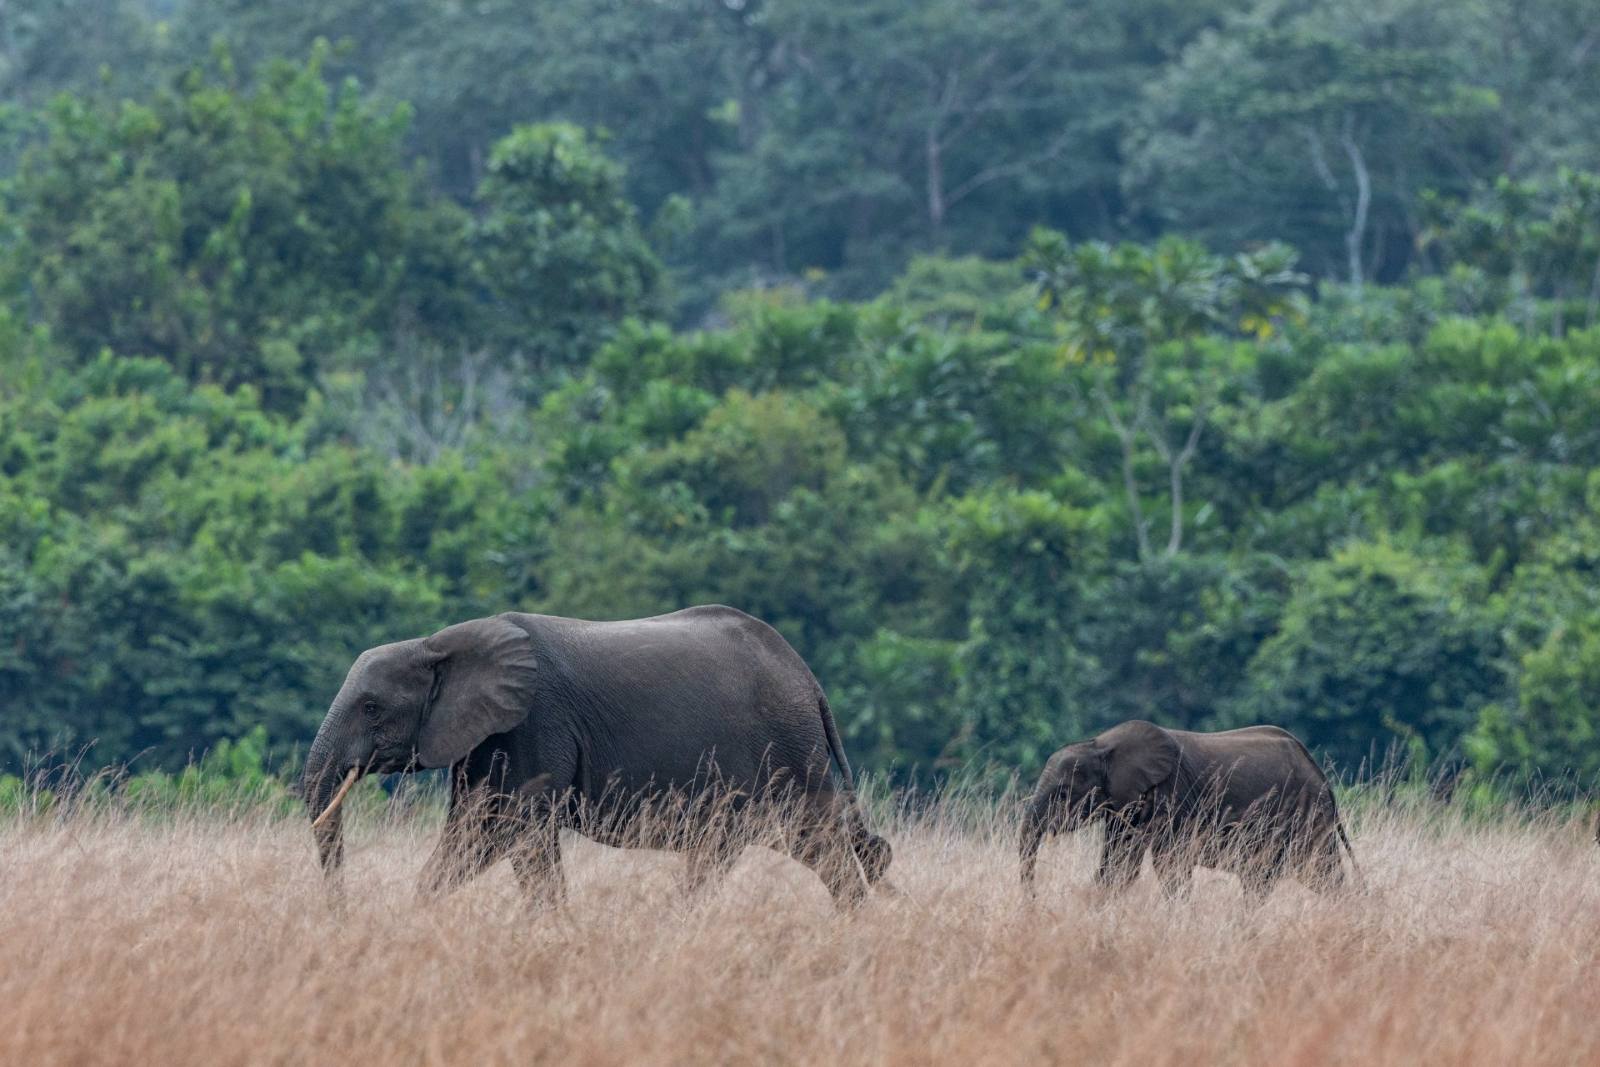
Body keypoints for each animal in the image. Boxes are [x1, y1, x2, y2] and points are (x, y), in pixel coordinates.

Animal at [302, 605, 892, 908]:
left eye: (371, 707)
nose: (340, 911)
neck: (435, 644)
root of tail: (809, 681)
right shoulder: (487, 737)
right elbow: (473, 832)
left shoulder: (533, 723)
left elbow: (519, 831)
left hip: (787, 749)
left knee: (819, 843)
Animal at [1019, 720, 1357, 901]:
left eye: (1062, 793)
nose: (1036, 901)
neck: (1100, 745)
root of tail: (1321, 775)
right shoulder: (1125, 806)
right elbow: (1118, 864)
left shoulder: (1171, 795)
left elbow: (1167, 863)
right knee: (1263, 879)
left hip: (1309, 813)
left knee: (1323, 873)